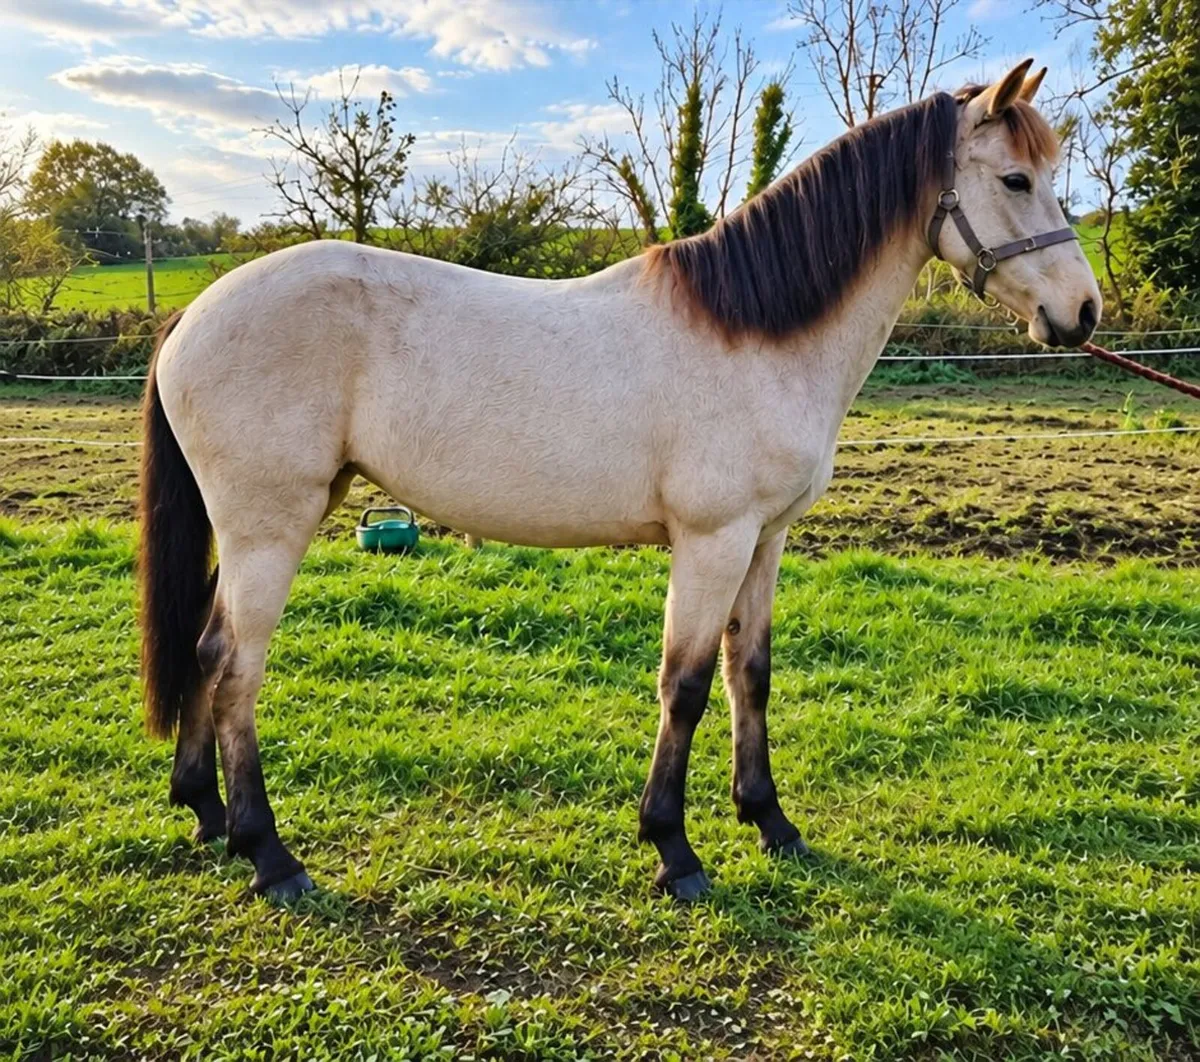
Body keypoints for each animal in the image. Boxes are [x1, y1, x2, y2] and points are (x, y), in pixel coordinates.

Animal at [139, 60, 1100, 902]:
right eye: (1016, 179)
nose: (1083, 313)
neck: (757, 332)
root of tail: (194, 315)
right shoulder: (712, 543)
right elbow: (686, 685)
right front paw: (674, 850)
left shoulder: (766, 540)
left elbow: (750, 672)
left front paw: (770, 822)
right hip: (272, 527)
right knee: (234, 666)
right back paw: (269, 855)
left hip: (260, 524)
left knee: (202, 647)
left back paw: (206, 812)